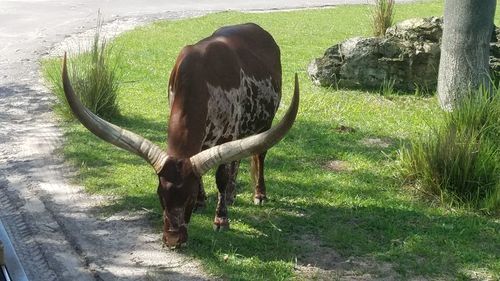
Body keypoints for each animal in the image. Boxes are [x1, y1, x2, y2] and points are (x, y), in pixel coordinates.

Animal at [61, 23, 296, 246]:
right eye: (160, 195)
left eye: (188, 198)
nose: (173, 239)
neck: (199, 78)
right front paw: (204, 201)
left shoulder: (229, 134)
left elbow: (221, 176)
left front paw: (221, 219)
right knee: (236, 160)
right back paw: (231, 194)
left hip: (264, 124)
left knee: (258, 155)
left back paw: (258, 194)